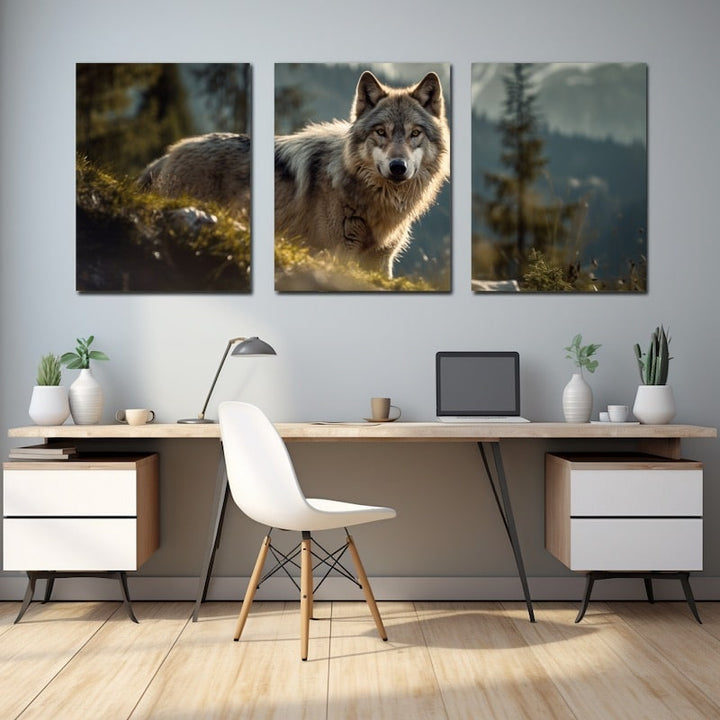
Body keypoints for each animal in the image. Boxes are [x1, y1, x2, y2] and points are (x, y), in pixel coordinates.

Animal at [139, 71, 450, 279]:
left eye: (415, 133)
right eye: (381, 132)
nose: (398, 167)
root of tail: (166, 157)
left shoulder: (381, 264)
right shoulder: (338, 254)